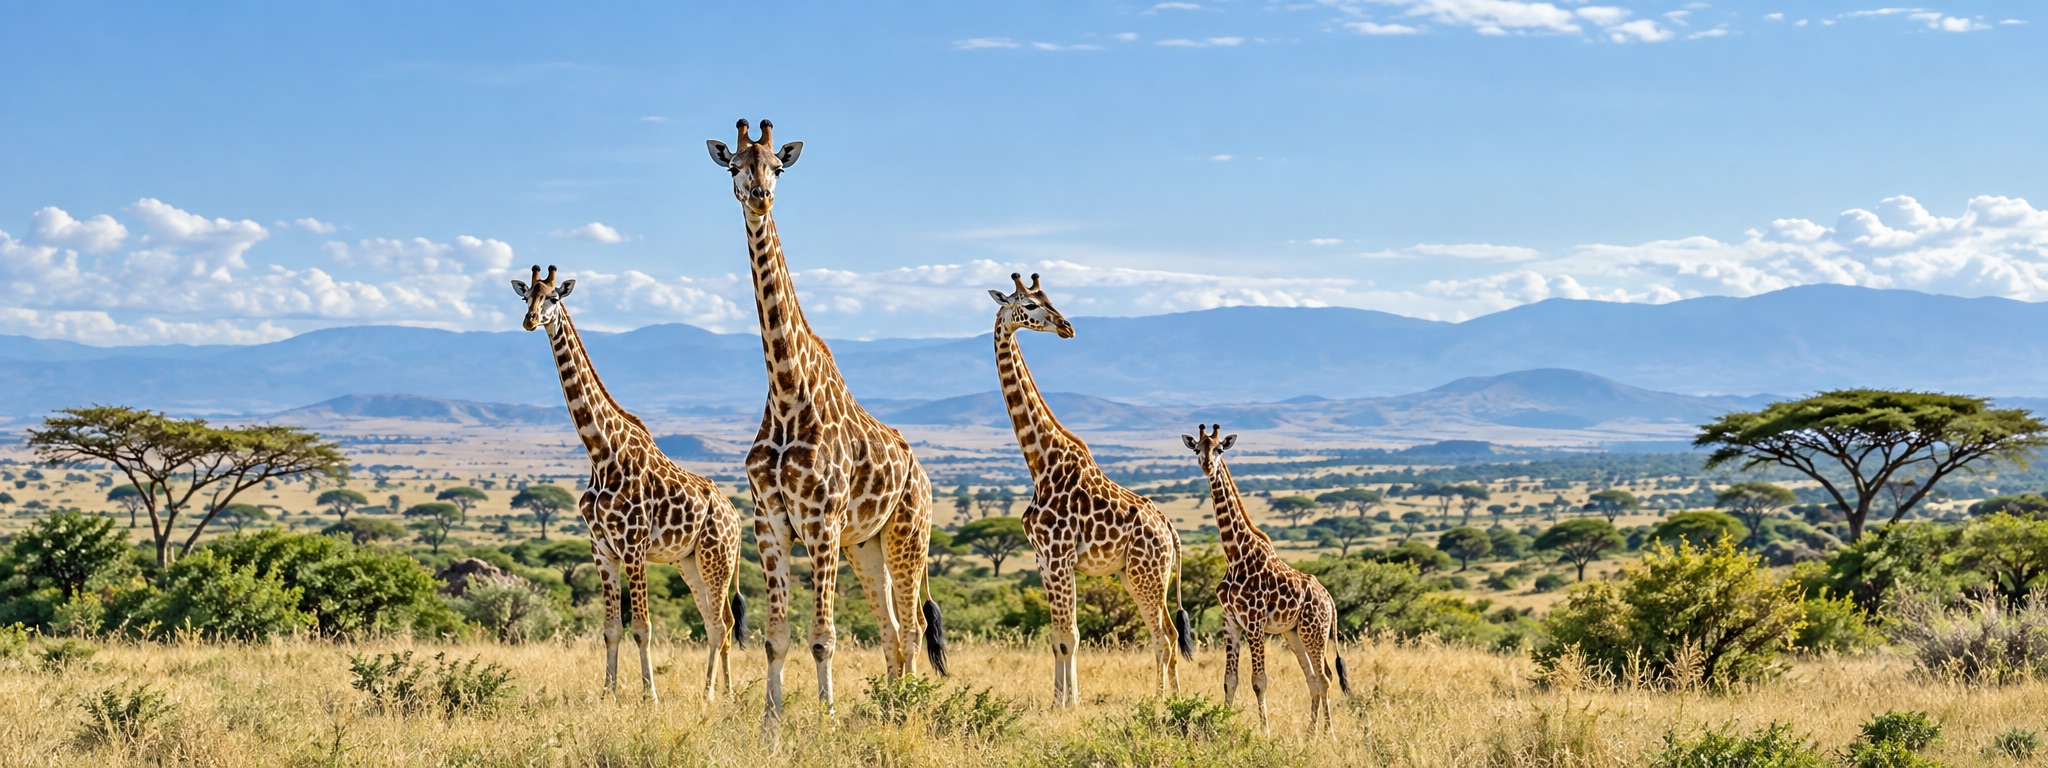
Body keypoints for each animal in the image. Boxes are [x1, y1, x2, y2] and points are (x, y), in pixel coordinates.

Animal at [511, 264, 745, 702]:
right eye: (526, 296)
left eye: (554, 297)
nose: (530, 321)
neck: (601, 453)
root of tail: (737, 517)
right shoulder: (601, 548)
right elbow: (610, 629)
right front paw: (608, 694)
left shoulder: (633, 547)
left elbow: (642, 628)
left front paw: (649, 696)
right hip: (689, 561)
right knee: (714, 621)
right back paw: (722, 693)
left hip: (716, 557)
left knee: (723, 624)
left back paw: (712, 694)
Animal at [706, 120, 946, 727]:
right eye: (734, 165)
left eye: (777, 167)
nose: (760, 197)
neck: (788, 392)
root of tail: (922, 472)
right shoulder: (771, 522)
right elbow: (775, 638)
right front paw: (771, 721)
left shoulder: (821, 523)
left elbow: (823, 637)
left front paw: (827, 716)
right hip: (867, 546)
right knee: (890, 628)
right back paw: (892, 704)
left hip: (908, 532)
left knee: (911, 626)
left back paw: (909, 707)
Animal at [987, 272, 1194, 707]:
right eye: (1029, 305)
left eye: (1048, 299)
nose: (1067, 327)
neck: (1040, 462)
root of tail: (1170, 532)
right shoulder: (1044, 560)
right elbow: (1057, 638)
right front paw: (1058, 701)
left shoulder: (1059, 556)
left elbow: (1070, 637)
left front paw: (1070, 704)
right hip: (1138, 575)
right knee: (1169, 632)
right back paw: (1176, 698)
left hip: (1147, 573)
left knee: (1164, 636)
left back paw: (1161, 701)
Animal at [1183, 424, 1351, 733]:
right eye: (1197, 448)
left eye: (1220, 449)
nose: (1207, 465)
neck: (1235, 554)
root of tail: (1330, 600)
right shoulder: (1230, 622)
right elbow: (1230, 680)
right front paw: (1223, 725)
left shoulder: (1255, 622)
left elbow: (1259, 681)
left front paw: (1266, 732)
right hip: (1294, 634)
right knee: (1313, 679)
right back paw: (1310, 735)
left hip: (1315, 631)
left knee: (1325, 678)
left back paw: (1329, 734)